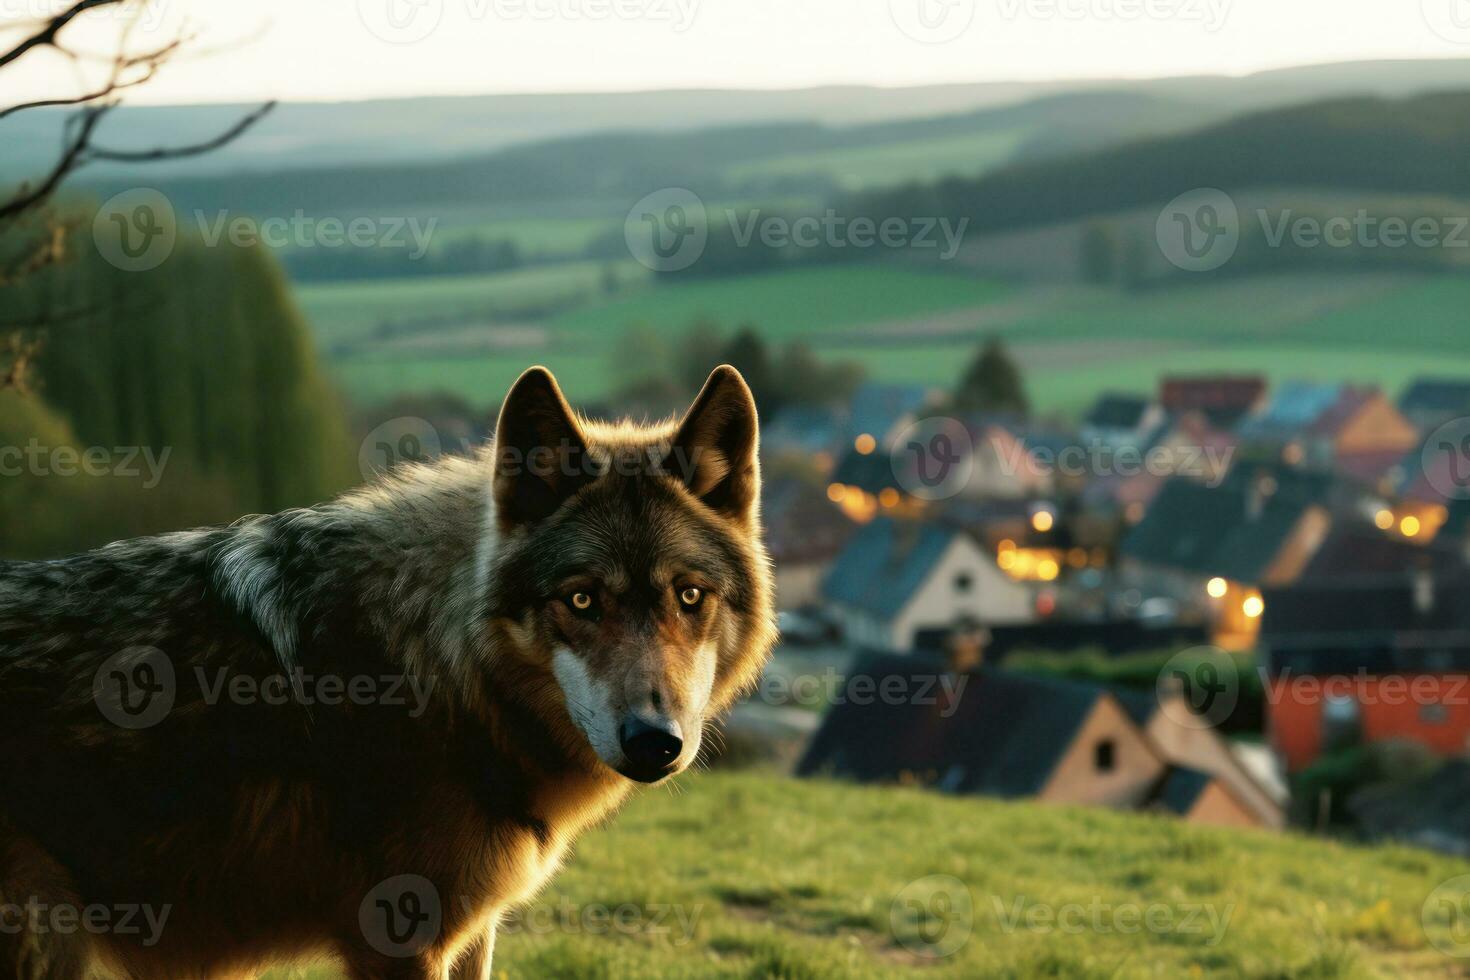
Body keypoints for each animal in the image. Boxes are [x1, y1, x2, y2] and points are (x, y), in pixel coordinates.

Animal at [0, 365, 782, 980]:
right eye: (583, 600)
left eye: (690, 597)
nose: (655, 740)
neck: (437, 659)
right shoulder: (399, 937)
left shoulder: (470, 934)